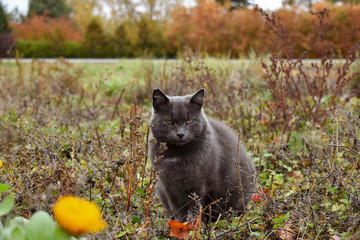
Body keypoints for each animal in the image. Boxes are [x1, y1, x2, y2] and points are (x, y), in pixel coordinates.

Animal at [149, 87, 256, 221]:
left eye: (190, 121)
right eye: (169, 121)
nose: (180, 134)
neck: (177, 155)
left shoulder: (200, 185)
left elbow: (195, 207)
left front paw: (192, 224)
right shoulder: (168, 187)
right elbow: (177, 209)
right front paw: (179, 224)